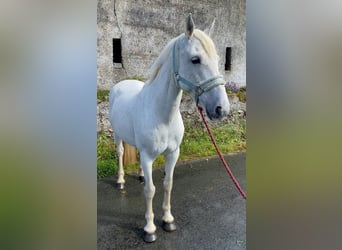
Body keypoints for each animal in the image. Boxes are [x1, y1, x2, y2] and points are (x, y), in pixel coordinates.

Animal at [109, 14, 230, 242]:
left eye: (219, 60)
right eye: (195, 59)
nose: (222, 109)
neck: (163, 116)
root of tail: (120, 84)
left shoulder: (173, 153)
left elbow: (168, 184)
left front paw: (167, 220)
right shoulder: (148, 157)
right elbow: (150, 190)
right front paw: (149, 229)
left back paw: (140, 175)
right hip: (117, 135)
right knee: (120, 153)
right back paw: (120, 181)